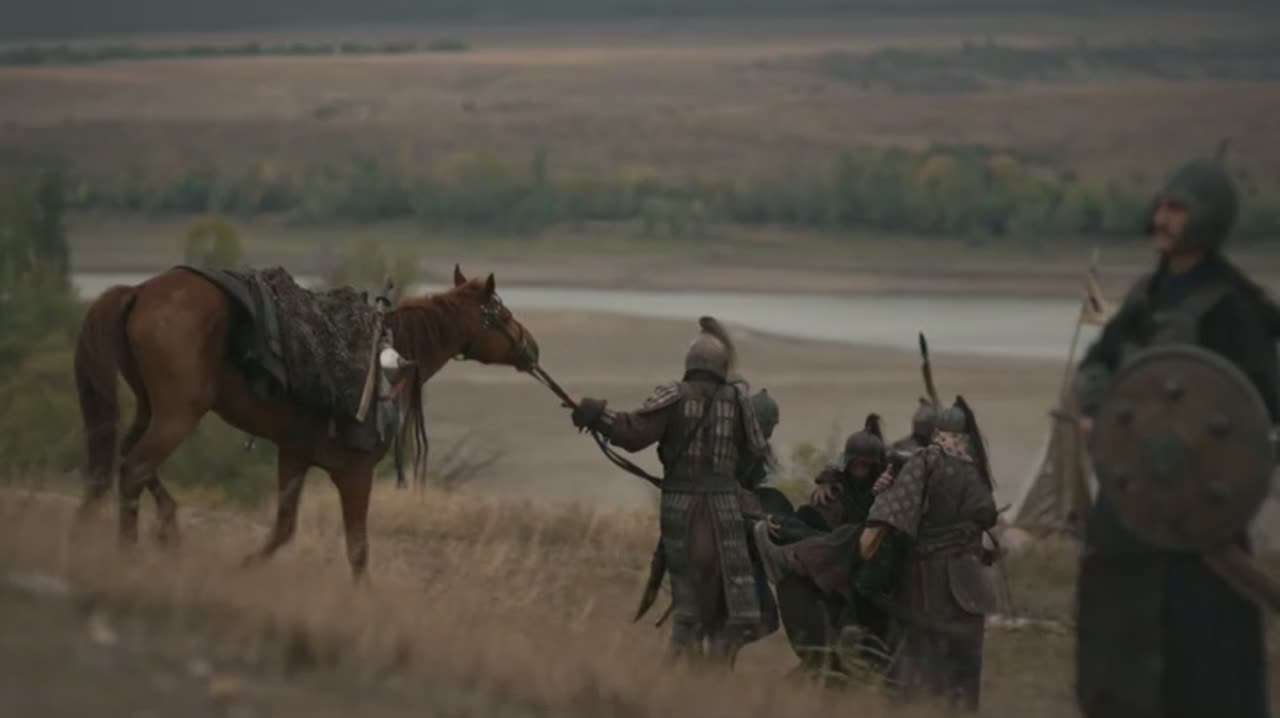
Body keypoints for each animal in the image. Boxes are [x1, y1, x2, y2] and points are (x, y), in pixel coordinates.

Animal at [72, 263, 537, 577]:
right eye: (502, 314)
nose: (532, 347)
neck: (396, 356)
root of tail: (138, 291)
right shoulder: (355, 473)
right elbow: (357, 549)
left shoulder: (294, 456)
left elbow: (283, 528)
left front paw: (242, 567)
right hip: (178, 415)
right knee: (135, 466)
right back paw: (130, 548)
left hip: (151, 409)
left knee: (125, 459)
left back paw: (159, 527)